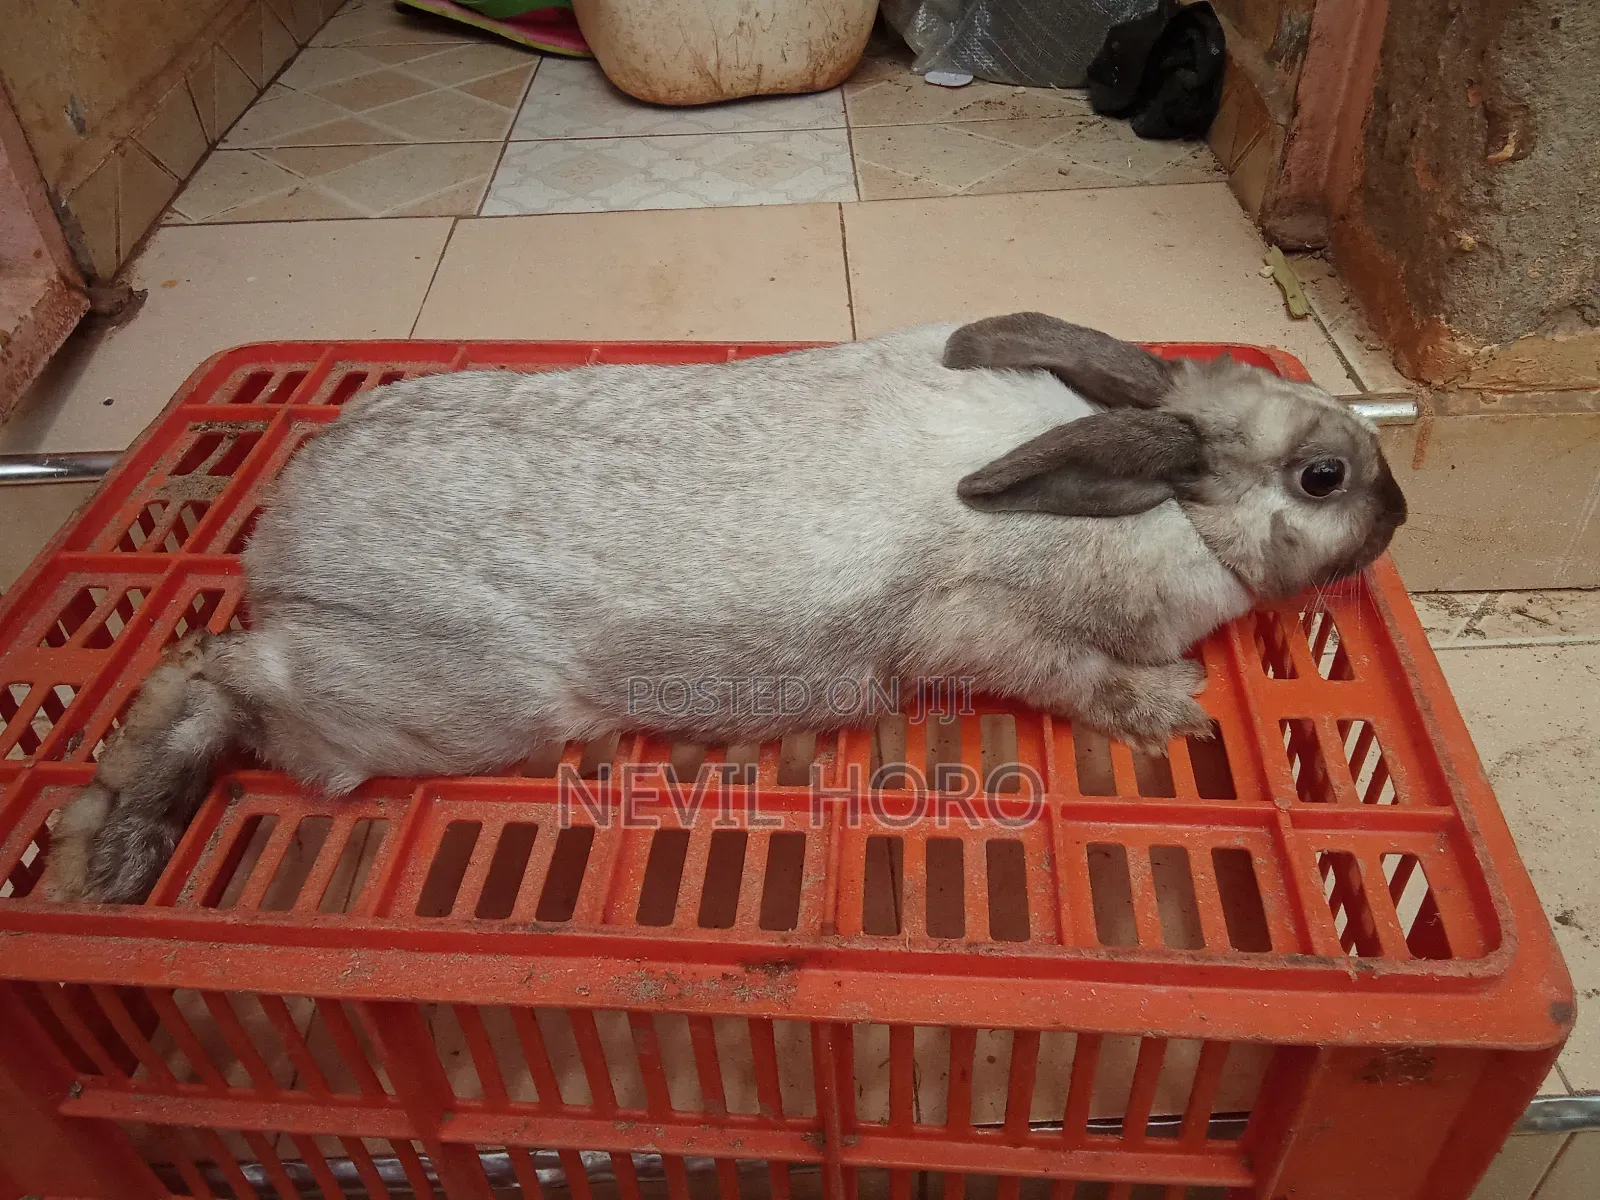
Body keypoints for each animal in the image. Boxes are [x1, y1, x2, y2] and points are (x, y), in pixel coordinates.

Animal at [40, 312, 1406, 905]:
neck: (1166, 505)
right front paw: (1167, 707)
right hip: (414, 706)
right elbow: (1062, 668)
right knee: (221, 675)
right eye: (1321, 477)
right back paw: (109, 849)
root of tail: (279, 537)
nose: (1398, 511)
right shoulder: (973, 625)